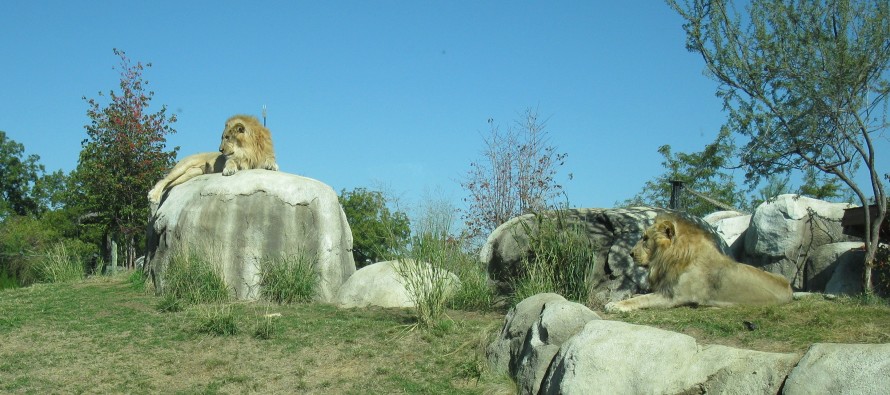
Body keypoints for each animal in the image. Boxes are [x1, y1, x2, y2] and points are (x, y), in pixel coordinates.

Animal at [147, 113, 278, 203]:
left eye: (227, 137)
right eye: (223, 137)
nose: (220, 150)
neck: (248, 150)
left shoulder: (261, 158)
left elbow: (270, 159)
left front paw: (272, 166)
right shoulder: (233, 159)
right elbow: (231, 162)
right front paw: (229, 170)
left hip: (192, 173)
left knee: (170, 183)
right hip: (183, 166)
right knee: (164, 180)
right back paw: (153, 196)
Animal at [604, 215, 792, 314]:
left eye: (645, 238)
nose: (630, 253)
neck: (671, 259)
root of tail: (789, 289)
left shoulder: (672, 296)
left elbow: (642, 299)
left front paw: (615, 305)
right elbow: (638, 295)